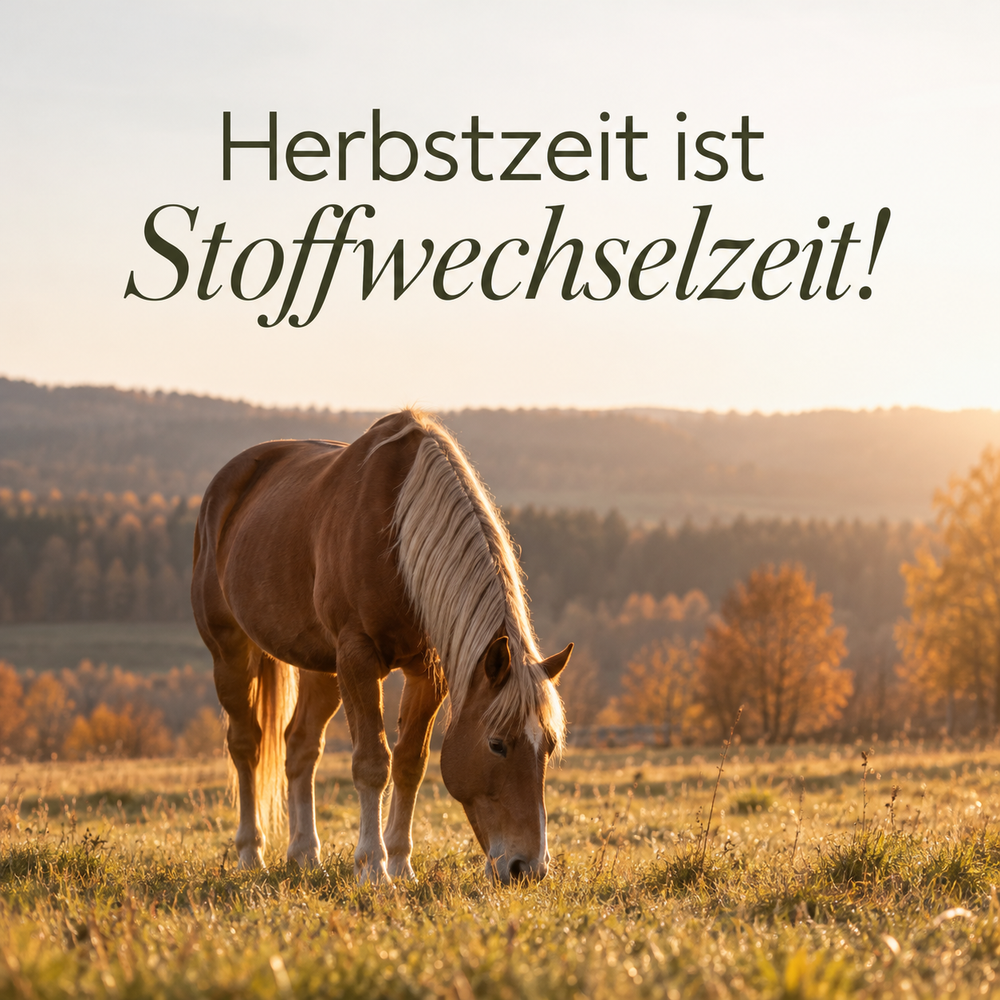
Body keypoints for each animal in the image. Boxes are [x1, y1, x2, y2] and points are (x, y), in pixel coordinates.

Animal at [191, 409, 572, 884]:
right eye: (497, 744)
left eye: (549, 747)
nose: (527, 868)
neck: (398, 537)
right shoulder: (357, 657)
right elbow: (372, 762)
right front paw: (373, 866)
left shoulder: (426, 670)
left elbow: (410, 763)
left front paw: (401, 863)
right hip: (230, 652)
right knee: (247, 744)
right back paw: (250, 853)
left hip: (321, 666)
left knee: (300, 746)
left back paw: (304, 853)